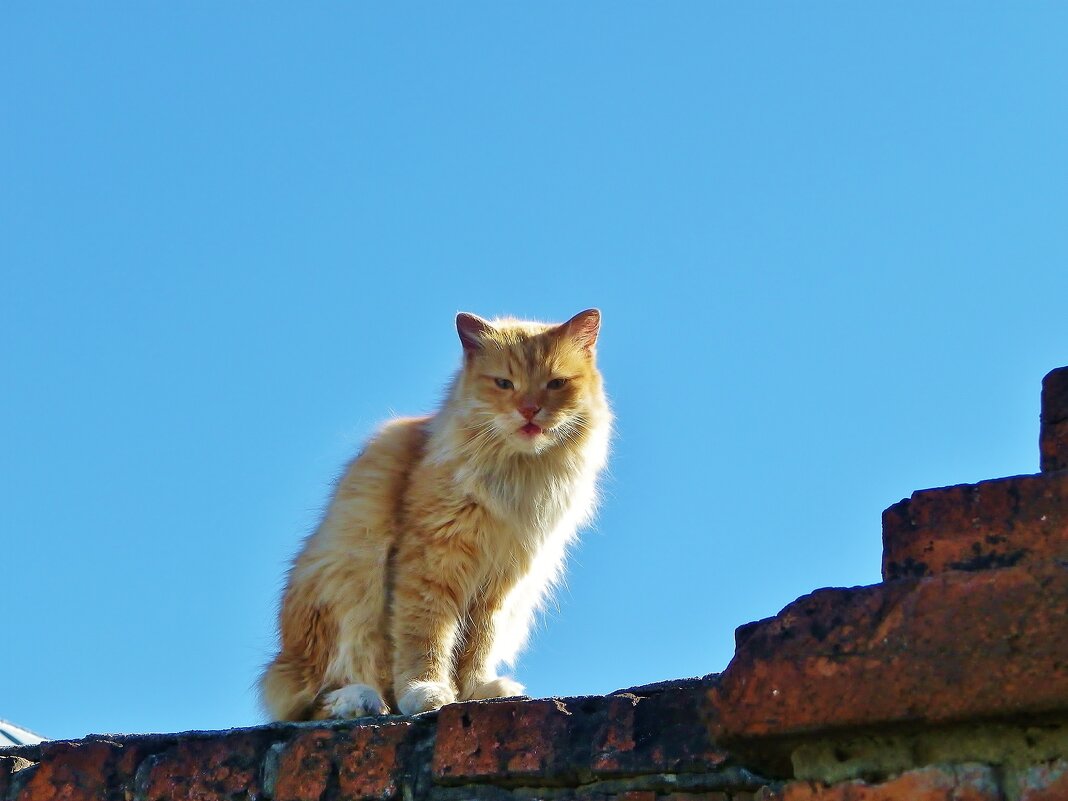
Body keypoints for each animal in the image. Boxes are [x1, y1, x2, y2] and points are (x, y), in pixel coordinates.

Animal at [260, 309, 610, 721]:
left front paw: (476, 690)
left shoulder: (501, 581)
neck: (519, 479)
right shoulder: (430, 563)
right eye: (504, 383)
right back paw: (360, 700)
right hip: (344, 590)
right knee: (315, 698)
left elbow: (478, 645)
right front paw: (427, 692)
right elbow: (425, 637)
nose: (528, 410)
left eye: (556, 383)